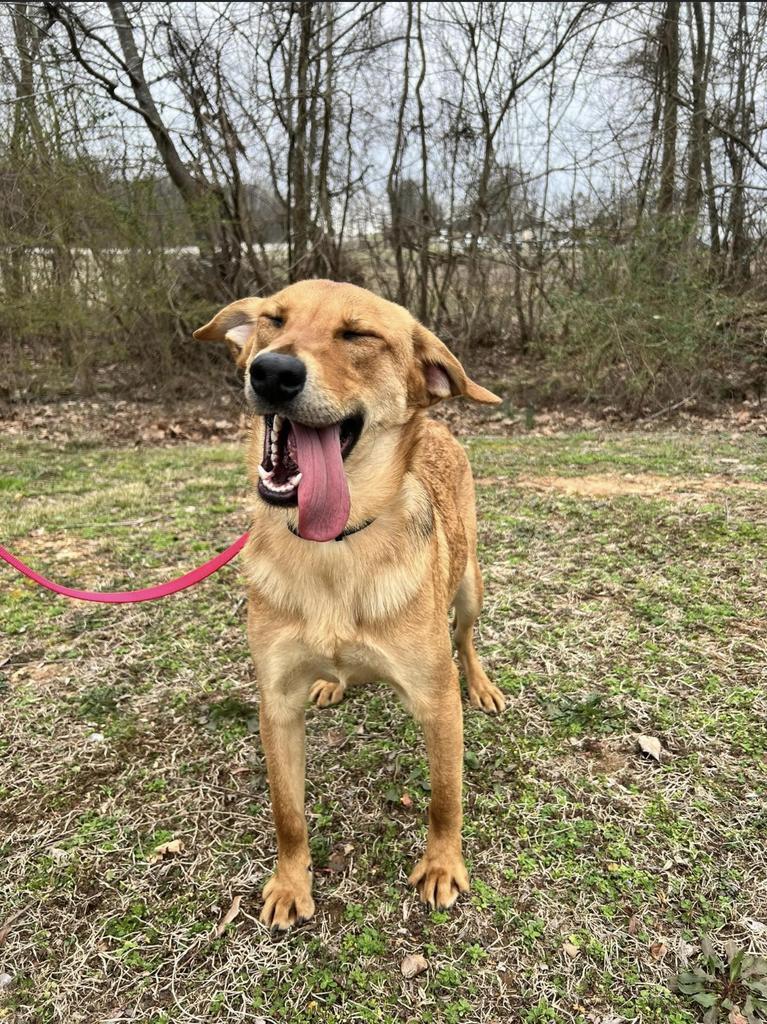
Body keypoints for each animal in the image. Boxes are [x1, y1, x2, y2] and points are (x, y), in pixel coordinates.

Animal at [194, 278, 505, 929]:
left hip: (469, 583)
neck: (331, 547)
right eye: (272, 320)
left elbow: (445, 797)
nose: (273, 372)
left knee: (465, 637)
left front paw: (442, 865)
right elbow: (287, 813)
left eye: (359, 335)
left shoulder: (437, 702)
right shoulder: (276, 703)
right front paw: (292, 882)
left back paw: (483, 683)